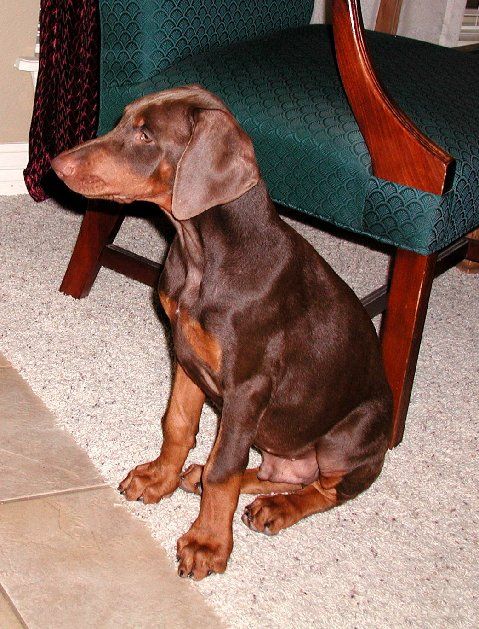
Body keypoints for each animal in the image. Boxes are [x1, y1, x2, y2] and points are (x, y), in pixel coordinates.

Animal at [51, 83, 394, 580]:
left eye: (146, 135)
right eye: (124, 121)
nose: (56, 165)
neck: (201, 255)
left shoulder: (249, 387)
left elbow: (225, 469)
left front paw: (207, 543)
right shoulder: (185, 353)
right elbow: (177, 424)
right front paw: (159, 478)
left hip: (349, 435)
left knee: (324, 488)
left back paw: (279, 508)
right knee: (275, 473)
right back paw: (205, 478)